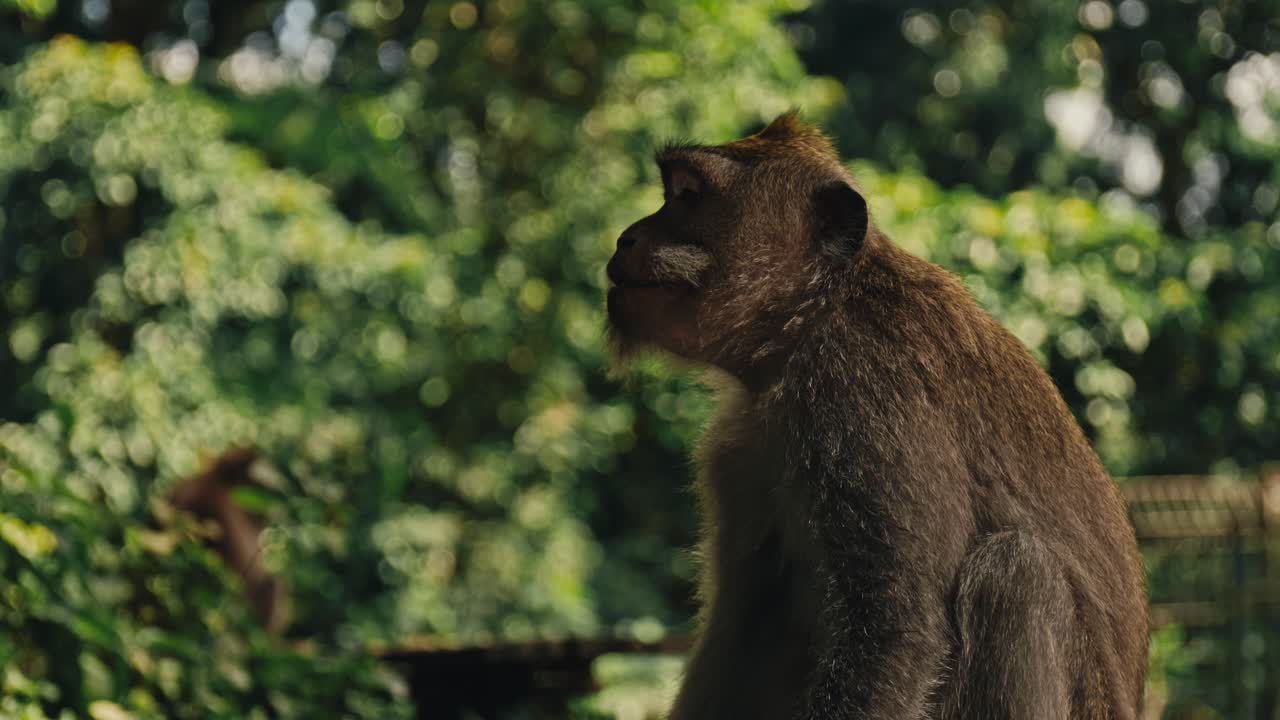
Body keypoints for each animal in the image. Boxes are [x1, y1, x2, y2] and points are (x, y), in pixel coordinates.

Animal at [605, 113, 1147, 719]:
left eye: (687, 196)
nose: (626, 236)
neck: (814, 313)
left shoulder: (864, 394)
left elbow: (897, 630)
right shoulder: (741, 447)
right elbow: (744, 634)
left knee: (1018, 573)